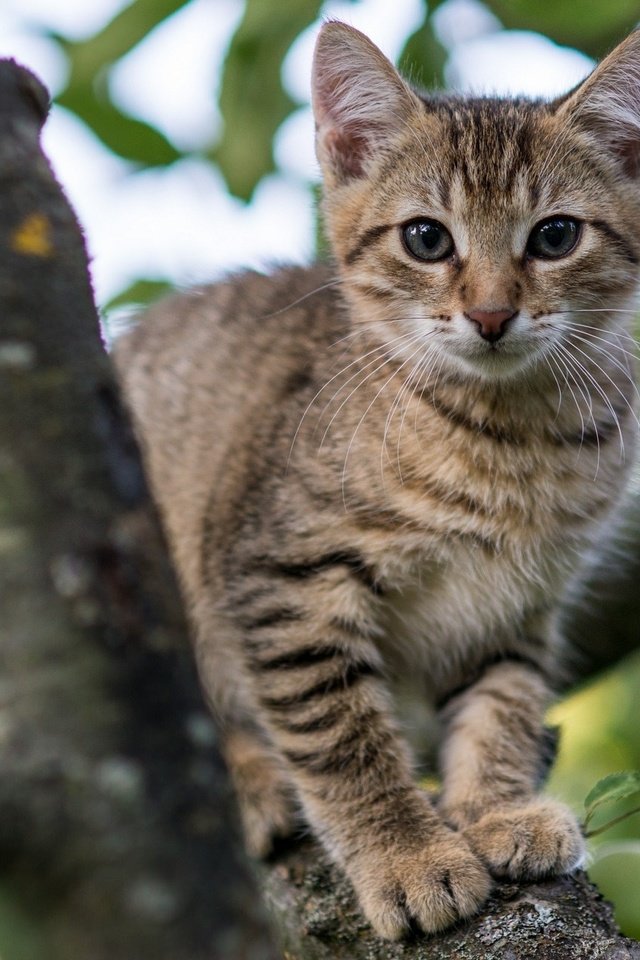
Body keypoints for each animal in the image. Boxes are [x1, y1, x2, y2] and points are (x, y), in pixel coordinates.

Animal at [115, 20, 640, 936]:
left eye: (555, 236)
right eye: (427, 238)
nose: (492, 313)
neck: (512, 437)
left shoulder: (522, 602)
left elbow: (503, 701)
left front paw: (495, 806)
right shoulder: (284, 579)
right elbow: (341, 732)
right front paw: (407, 854)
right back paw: (249, 782)